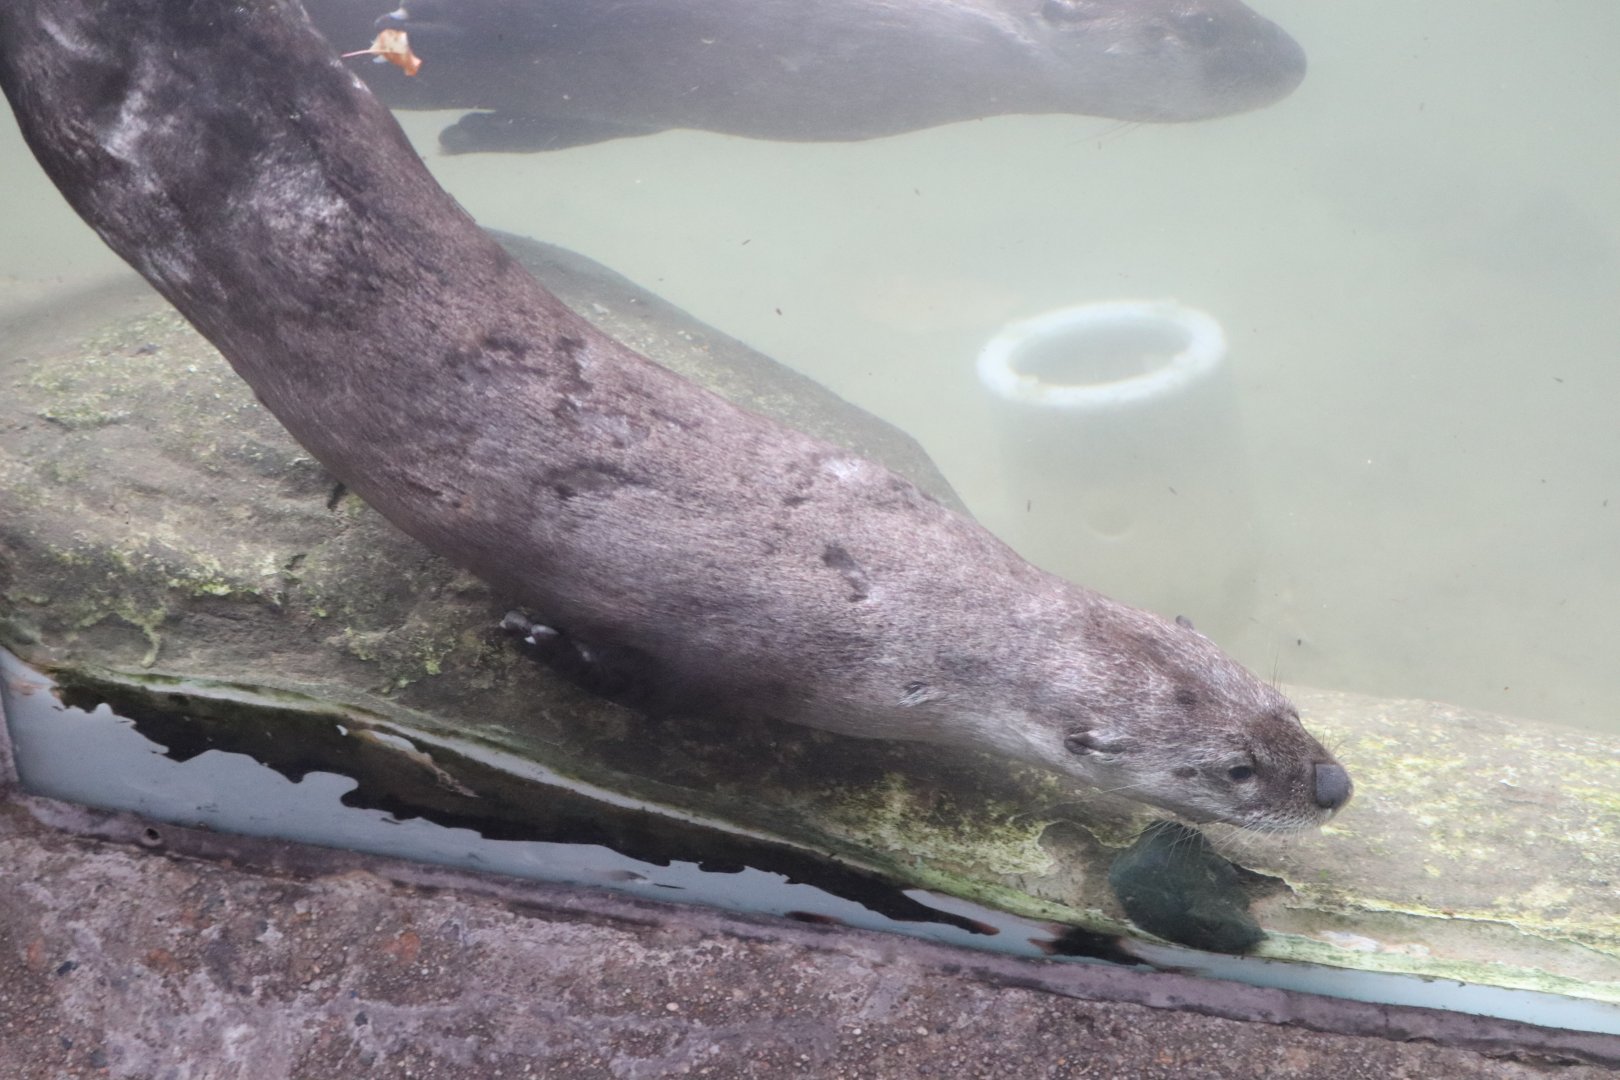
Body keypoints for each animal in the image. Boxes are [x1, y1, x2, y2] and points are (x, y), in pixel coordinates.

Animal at [0, 0, 1349, 831]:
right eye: (1235, 768)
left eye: (1288, 711)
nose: (1333, 786)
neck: (893, 608)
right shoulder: (723, 651)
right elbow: (629, 680)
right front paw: (533, 642)